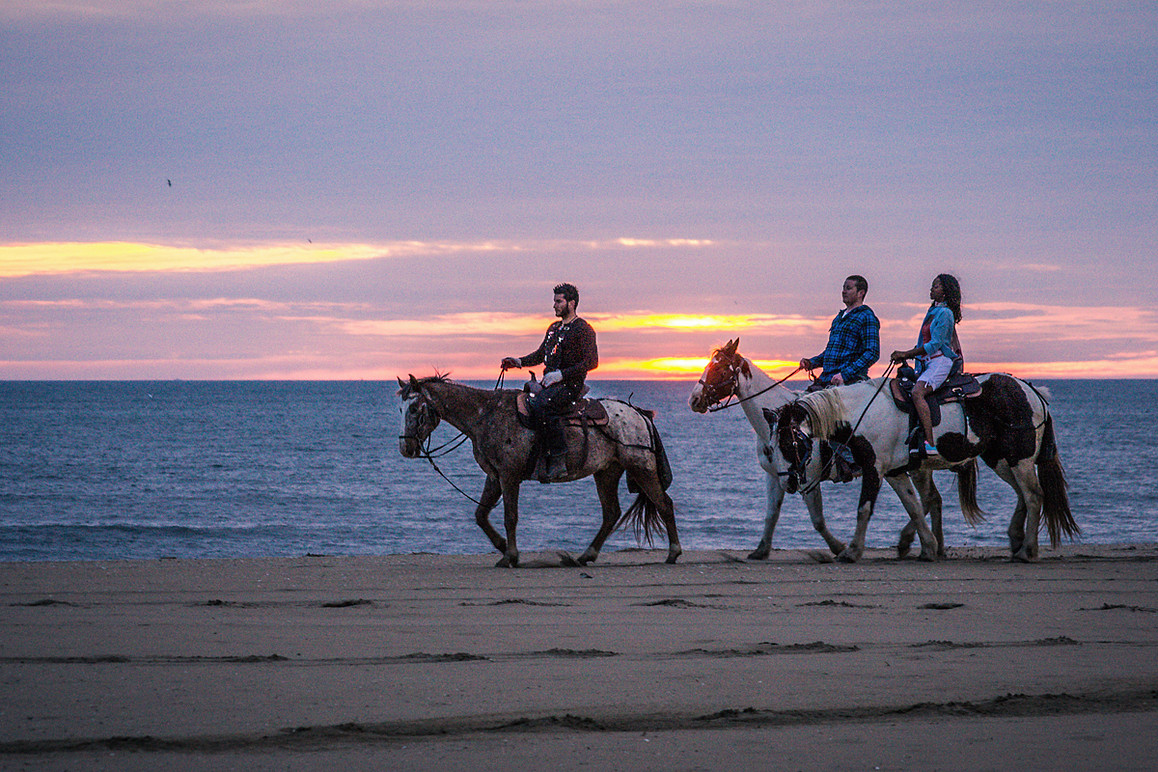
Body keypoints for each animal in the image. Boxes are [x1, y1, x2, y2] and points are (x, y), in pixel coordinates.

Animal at [398, 375, 676, 567]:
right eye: (400, 409)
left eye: (413, 408)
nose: (405, 447)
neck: (486, 415)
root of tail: (639, 414)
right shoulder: (494, 476)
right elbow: (480, 515)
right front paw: (502, 548)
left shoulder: (509, 476)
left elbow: (510, 517)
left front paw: (510, 556)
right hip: (607, 472)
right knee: (611, 513)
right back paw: (585, 556)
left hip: (640, 467)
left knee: (664, 503)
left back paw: (673, 552)